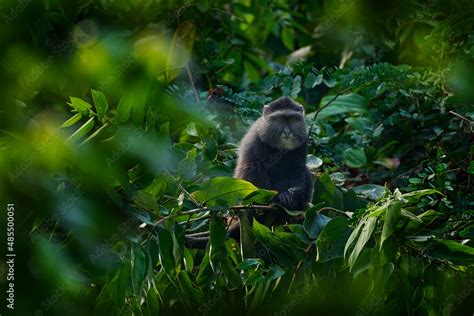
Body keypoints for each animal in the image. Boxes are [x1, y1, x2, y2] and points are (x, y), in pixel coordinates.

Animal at [186, 96, 314, 247]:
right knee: (253, 167)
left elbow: (297, 168)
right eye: (280, 119)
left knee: (307, 172)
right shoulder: (257, 137)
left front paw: (294, 195)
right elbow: (253, 166)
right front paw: (280, 197)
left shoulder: (303, 141)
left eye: (293, 119)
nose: (287, 132)